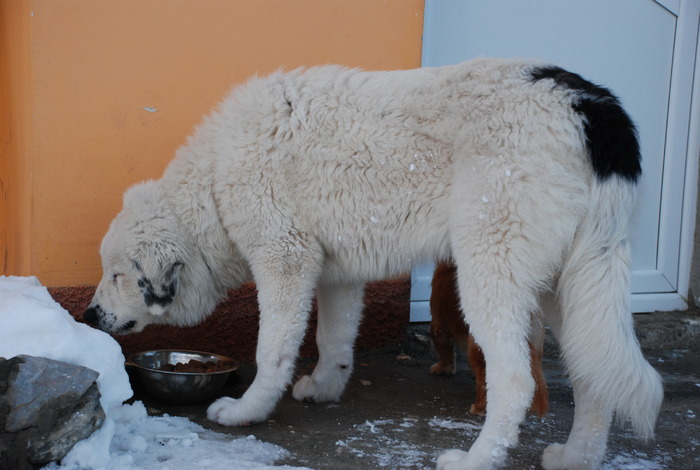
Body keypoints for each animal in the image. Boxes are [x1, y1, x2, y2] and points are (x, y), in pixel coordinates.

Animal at [430, 262, 548, 416]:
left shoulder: (439, 324)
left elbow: (444, 351)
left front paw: (442, 368)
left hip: (479, 351)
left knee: (485, 379)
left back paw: (479, 407)